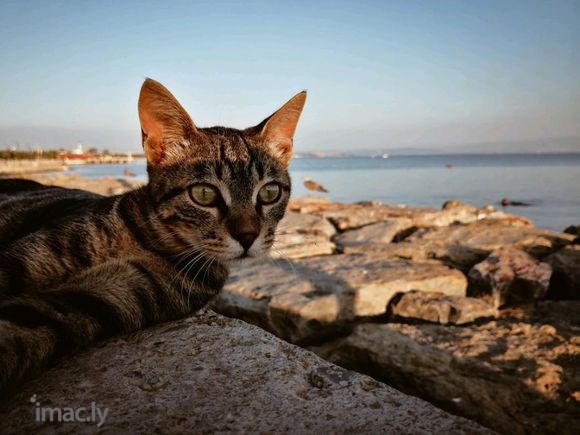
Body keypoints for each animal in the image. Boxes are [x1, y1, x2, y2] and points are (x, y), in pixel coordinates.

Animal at [0, 79, 308, 398]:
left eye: (269, 192)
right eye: (204, 194)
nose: (248, 235)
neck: (149, 242)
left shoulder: (99, 298)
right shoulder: (26, 260)